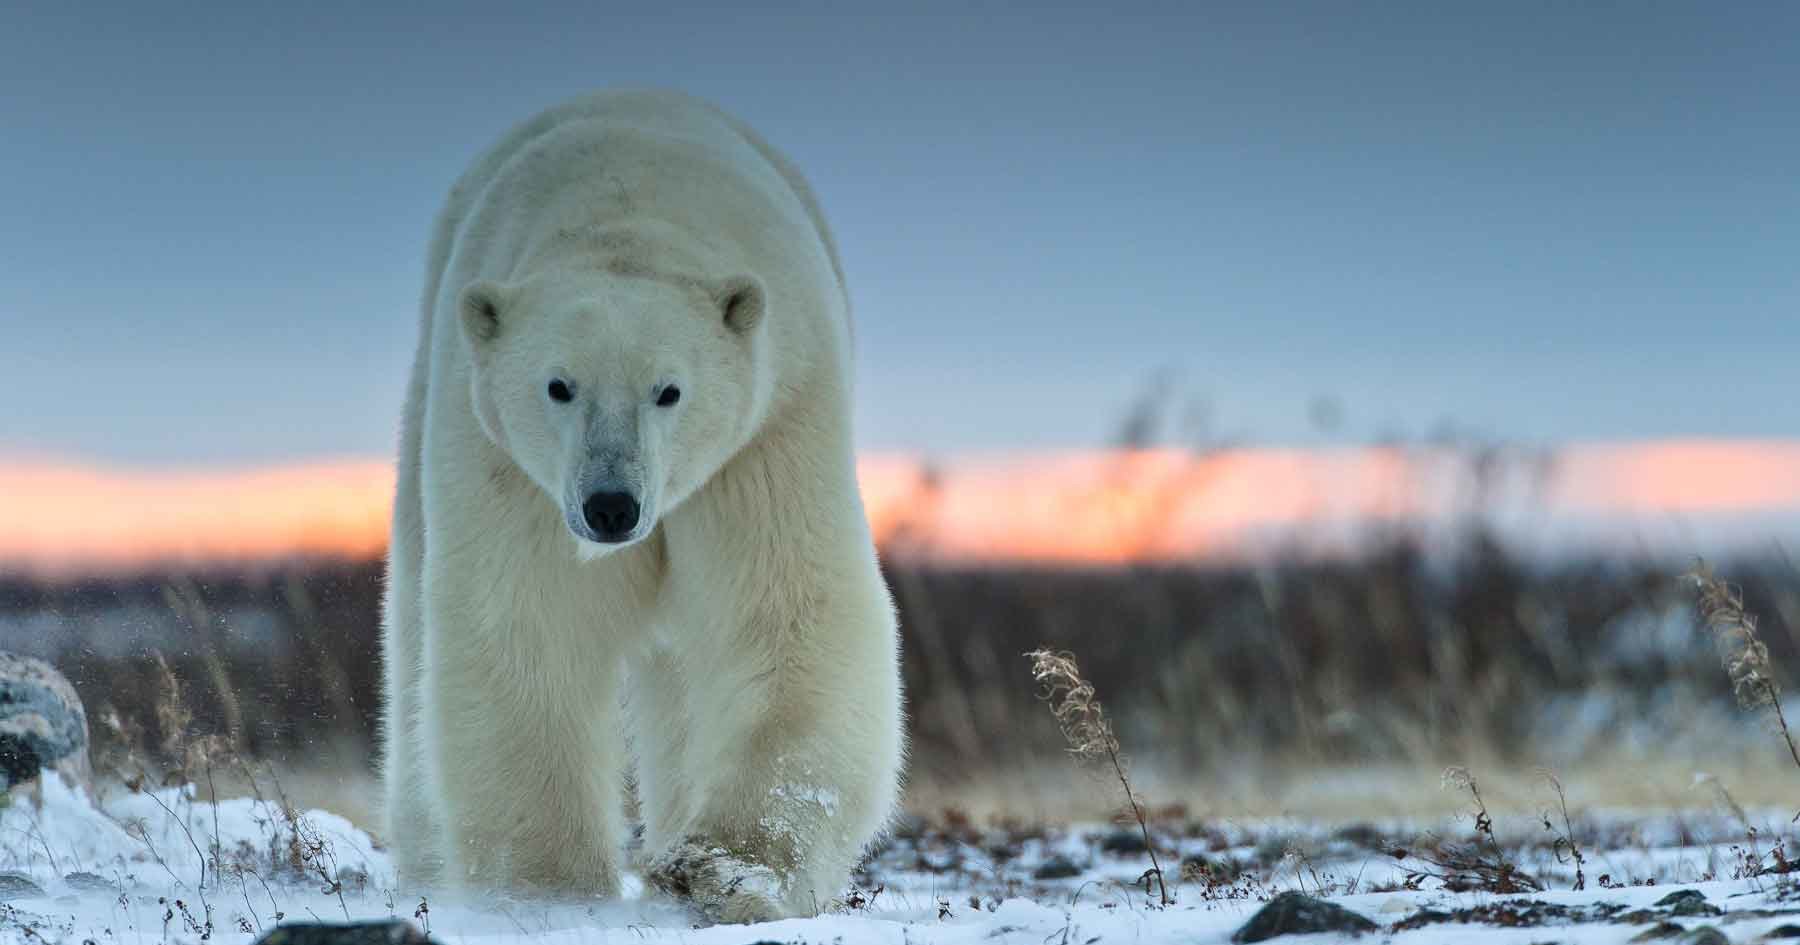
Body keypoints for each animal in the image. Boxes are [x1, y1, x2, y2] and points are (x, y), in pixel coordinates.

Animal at [385, 90, 907, 921]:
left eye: (670, 390)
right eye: (559, 384)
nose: (611, 507)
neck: (628, 218)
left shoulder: (773, 422)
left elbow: (786, 612)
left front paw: (728, 870)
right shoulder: (507, 461)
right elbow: (534, 623)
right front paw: (546, 886)